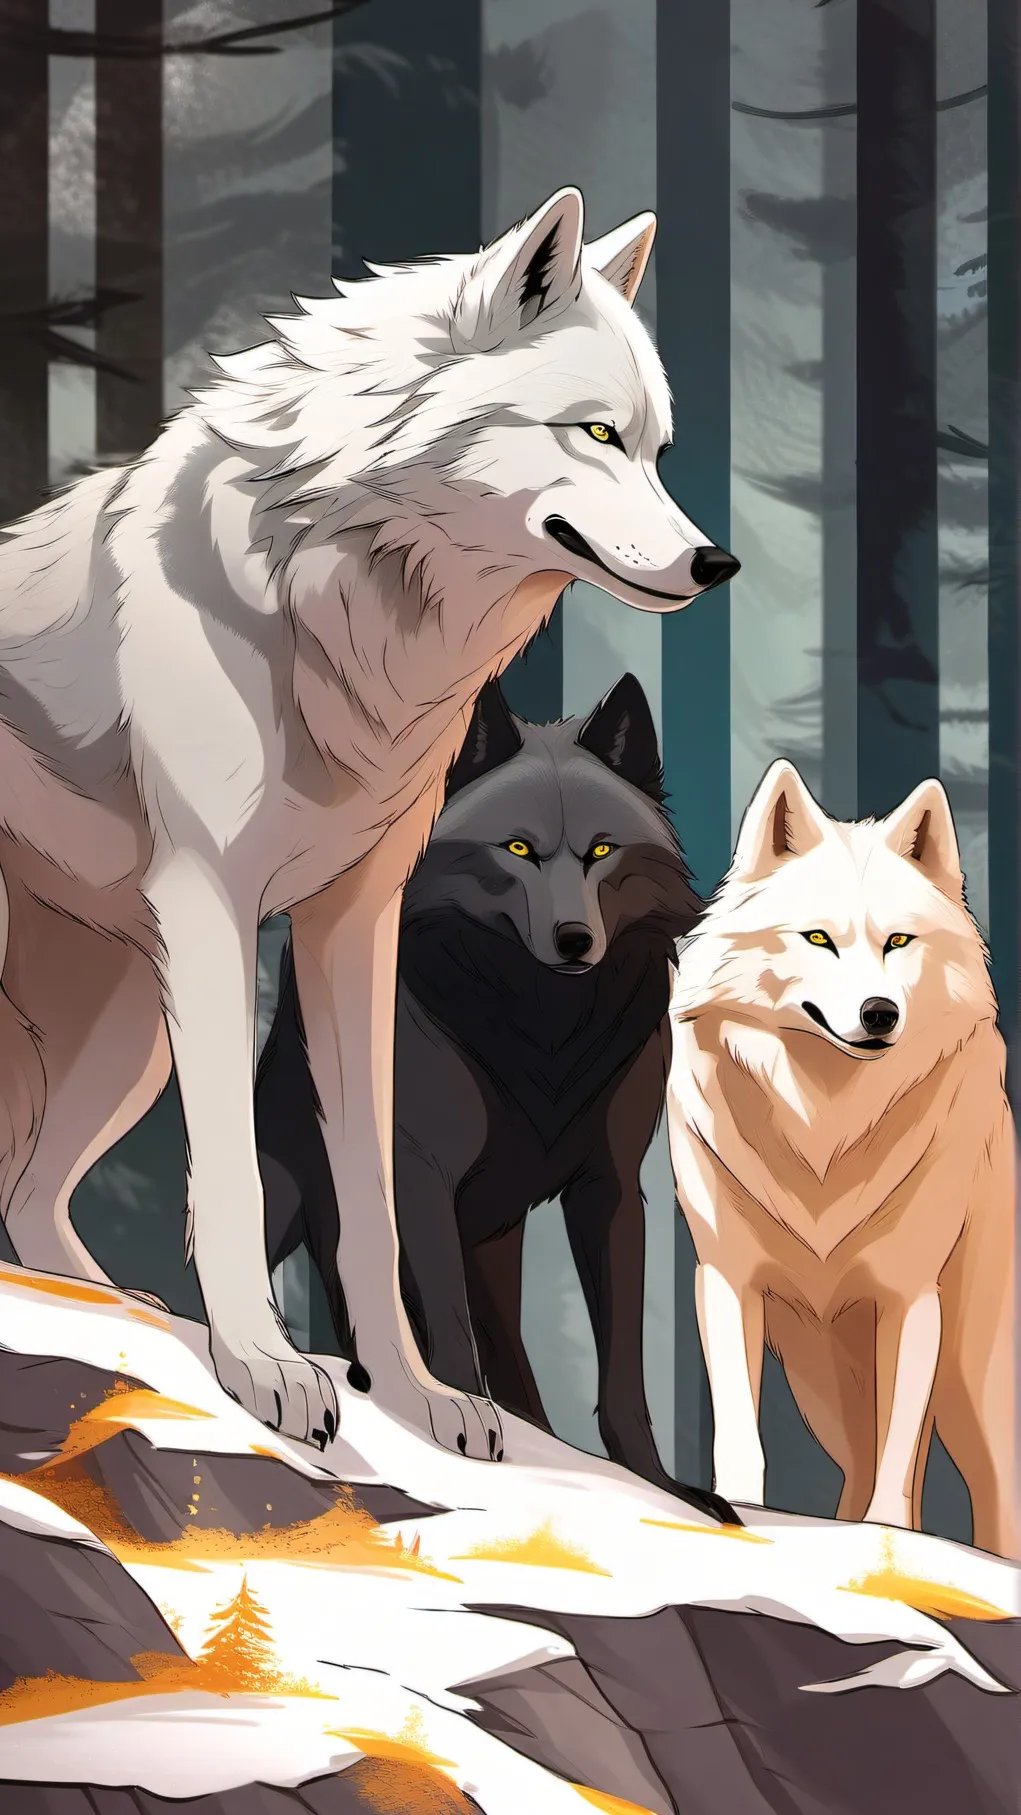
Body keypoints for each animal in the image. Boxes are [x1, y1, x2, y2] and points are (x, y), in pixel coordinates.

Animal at [256, 672, 732, 1517]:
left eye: (600, 851)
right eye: (516, 850)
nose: (575, 939)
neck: (543, 1034)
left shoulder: (611, 1187)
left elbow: (623, 1368)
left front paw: (659, 1485)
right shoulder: (420, 1175)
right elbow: (447, 1329)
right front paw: (458, 1424)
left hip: (494, 1236)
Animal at [666, 760, 1016, 1555]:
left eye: (899, 941)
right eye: (818, 938)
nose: (879, 1013)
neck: (825, 1129)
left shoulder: (910, 1297)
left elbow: (899, 1458)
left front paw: (894, 1545)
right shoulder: (727, 1282)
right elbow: (740, 1435)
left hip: (972, 1379)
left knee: (991, 1483)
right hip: (819, 1381)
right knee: (857, 1463)